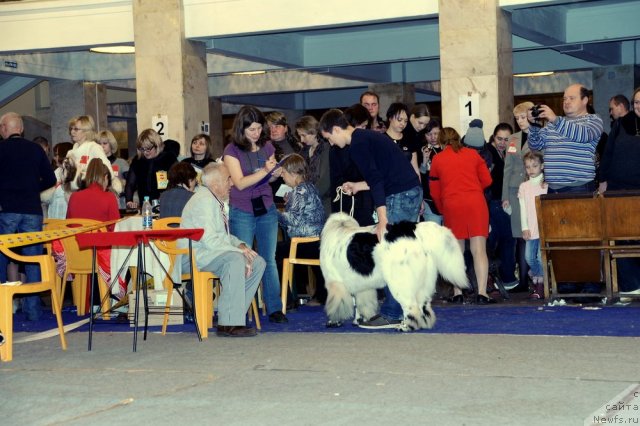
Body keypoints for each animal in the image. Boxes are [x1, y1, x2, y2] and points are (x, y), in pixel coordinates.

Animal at [322, 215, 468, 332]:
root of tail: (412, 228)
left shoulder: (335, 283)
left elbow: (336, 305)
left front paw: (333, 321)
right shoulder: (362, 285)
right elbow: (361, 304)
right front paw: (359, 320)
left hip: (399, 282)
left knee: (411, 307)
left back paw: (405, 327)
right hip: (424, 282)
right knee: (424, 307)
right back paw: (425, 324)